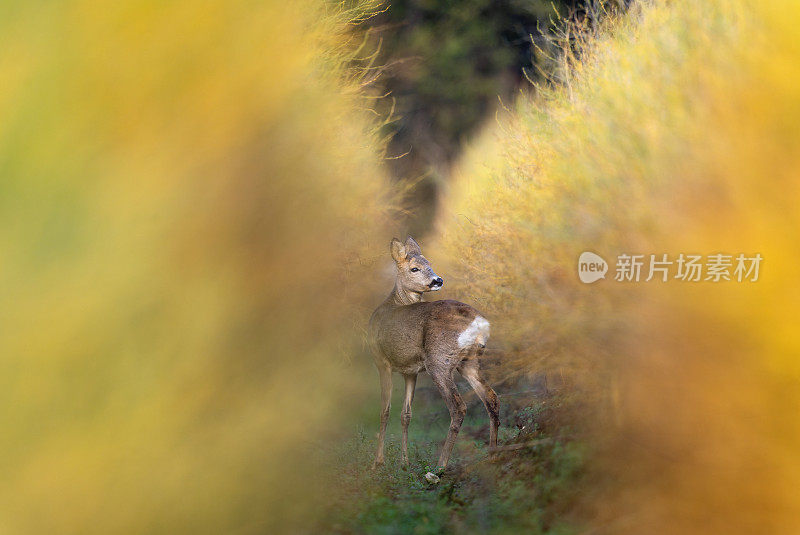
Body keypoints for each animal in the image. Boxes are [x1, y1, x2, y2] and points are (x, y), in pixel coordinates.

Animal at [370, 237, 500, 472]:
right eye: (415, 268)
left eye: (429, 264)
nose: (437, 280)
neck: (394, 302)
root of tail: (479, 322)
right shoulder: (410, 371)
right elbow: (406, 414)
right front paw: (404, 462)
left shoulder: (382, 361)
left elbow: (385, 410)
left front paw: (378, 462)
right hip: (470, 362)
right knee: (491, 397)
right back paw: (493, 455)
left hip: (439, 361)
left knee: (458, 407)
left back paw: (440, 467)